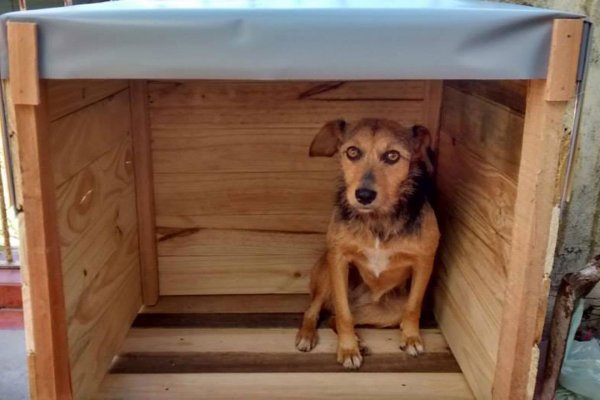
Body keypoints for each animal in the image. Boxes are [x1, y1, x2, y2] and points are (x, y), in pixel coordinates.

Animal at [296, 118, 440, 368]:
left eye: (392, 155)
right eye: (352, 152)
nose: (363, 195)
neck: (377, 219)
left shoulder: (424, 261)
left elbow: (413, 307)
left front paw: (411, 338)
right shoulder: (338, 260)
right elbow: (344, 315)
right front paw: (348, 349)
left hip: (386, 312)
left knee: (334, 316)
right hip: (326, 275)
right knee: (317, 311)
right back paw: (309, 335)